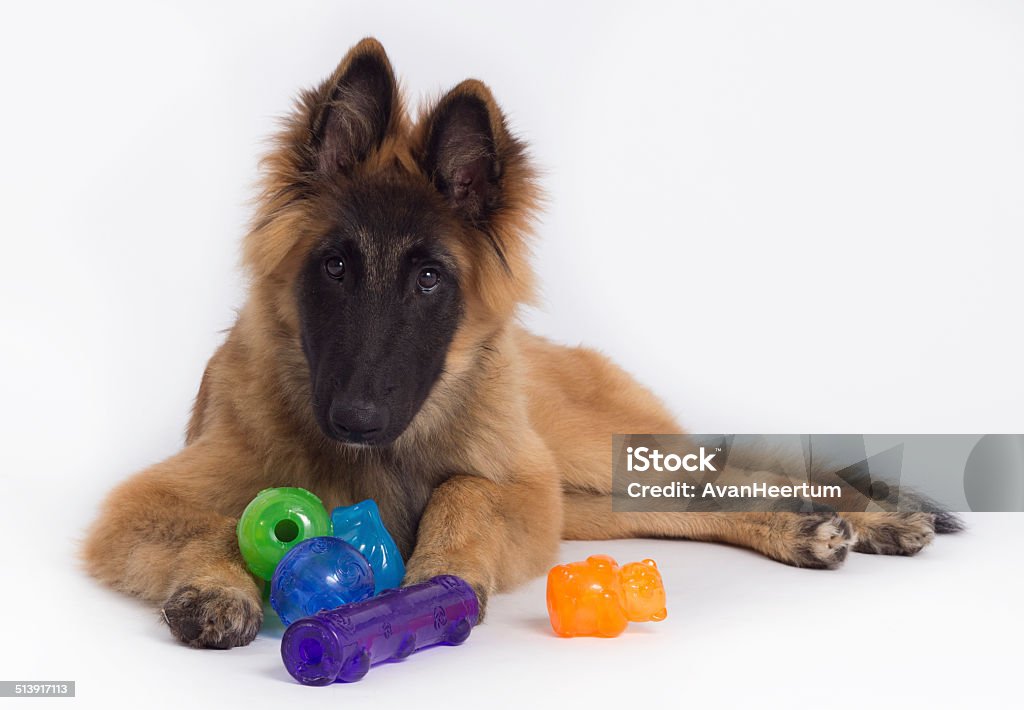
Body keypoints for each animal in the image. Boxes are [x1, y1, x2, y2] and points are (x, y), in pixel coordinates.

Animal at [83, 37, 962, 647]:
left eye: (429, 279)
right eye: (333, 266)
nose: (358, 419)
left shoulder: (518, 485)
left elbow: (463, 492)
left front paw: (437, 580)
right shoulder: (149, 497)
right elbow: (202, 524)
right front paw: (215, 588)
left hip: (579, 451)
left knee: (726, 472)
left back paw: (867, 515)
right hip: (585, 499)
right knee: (695, 498)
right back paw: (808, 529)